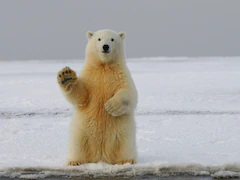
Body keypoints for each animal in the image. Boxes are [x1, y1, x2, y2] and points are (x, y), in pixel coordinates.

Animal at [57, 29, 138, 166]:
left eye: (112, 39)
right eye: (99, 39)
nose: (105, 46)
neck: (104, 66)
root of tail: (101, 157)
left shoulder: (121, 75)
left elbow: (129, 93)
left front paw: (110, 106)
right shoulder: (90, 77)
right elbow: (82, 96)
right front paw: (66, 76)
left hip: (124, 133)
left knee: (125, 145)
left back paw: (127, 160)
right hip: (81, 132)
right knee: (77, 145)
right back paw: (75, 161)